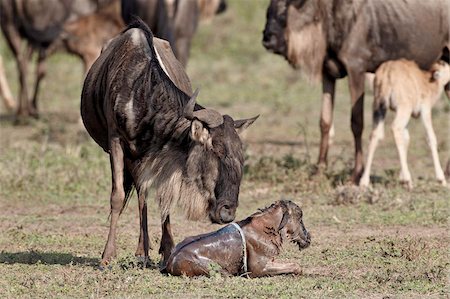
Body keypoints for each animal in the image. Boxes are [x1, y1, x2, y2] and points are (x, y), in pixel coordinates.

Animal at [163, 200, 312, 278]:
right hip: (214, 268)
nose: (308, 238)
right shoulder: (258, 270)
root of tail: (171, 260)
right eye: (300, 217)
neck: (268, 227)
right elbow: (296, 266)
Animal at [358, 59, 450, 189]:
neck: (427, 82)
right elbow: (431, 138)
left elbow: (406, 138)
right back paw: (407, 179)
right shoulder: (425, 111)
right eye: (446, 65)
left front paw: (401, 177)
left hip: (379, 107)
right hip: (404, 109)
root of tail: (387, 72)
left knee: (376, 134)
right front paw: (441, 179)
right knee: (395, 127)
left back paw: (364, 181)